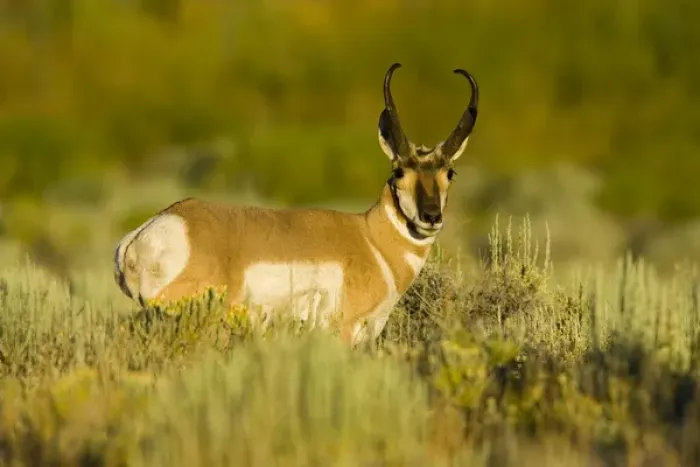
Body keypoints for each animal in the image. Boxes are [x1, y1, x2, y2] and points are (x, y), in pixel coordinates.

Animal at [113, 63, 479, 345]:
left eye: (450, 172)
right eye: (399, 171)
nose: (431, 216)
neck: (371, 240)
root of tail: (147, 231)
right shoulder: (344, 334)